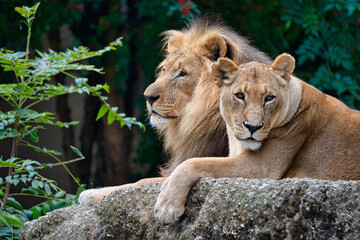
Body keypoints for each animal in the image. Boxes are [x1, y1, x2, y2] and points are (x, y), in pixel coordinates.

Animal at [156, 53, 360, 224]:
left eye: (269, 98)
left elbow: (194, 163)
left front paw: (166, 206)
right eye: (240, 96)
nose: (253, 127)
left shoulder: (263, 168)